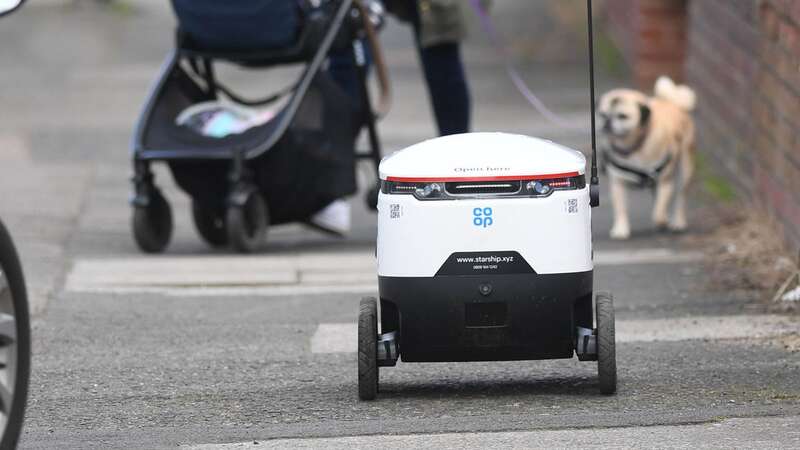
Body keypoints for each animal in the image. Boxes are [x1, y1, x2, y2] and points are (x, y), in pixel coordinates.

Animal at [596, 77, 696, 239]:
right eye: (602, 115)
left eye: (622, 116)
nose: (607, 122)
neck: (633, 147)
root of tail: (672, 102)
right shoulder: (618, 184)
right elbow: (620, 208)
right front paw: (621, 229)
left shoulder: (665, 182)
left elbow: (659, 210)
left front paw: (662, 220)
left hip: (685, 171)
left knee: (680, 197)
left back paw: (677, 222)